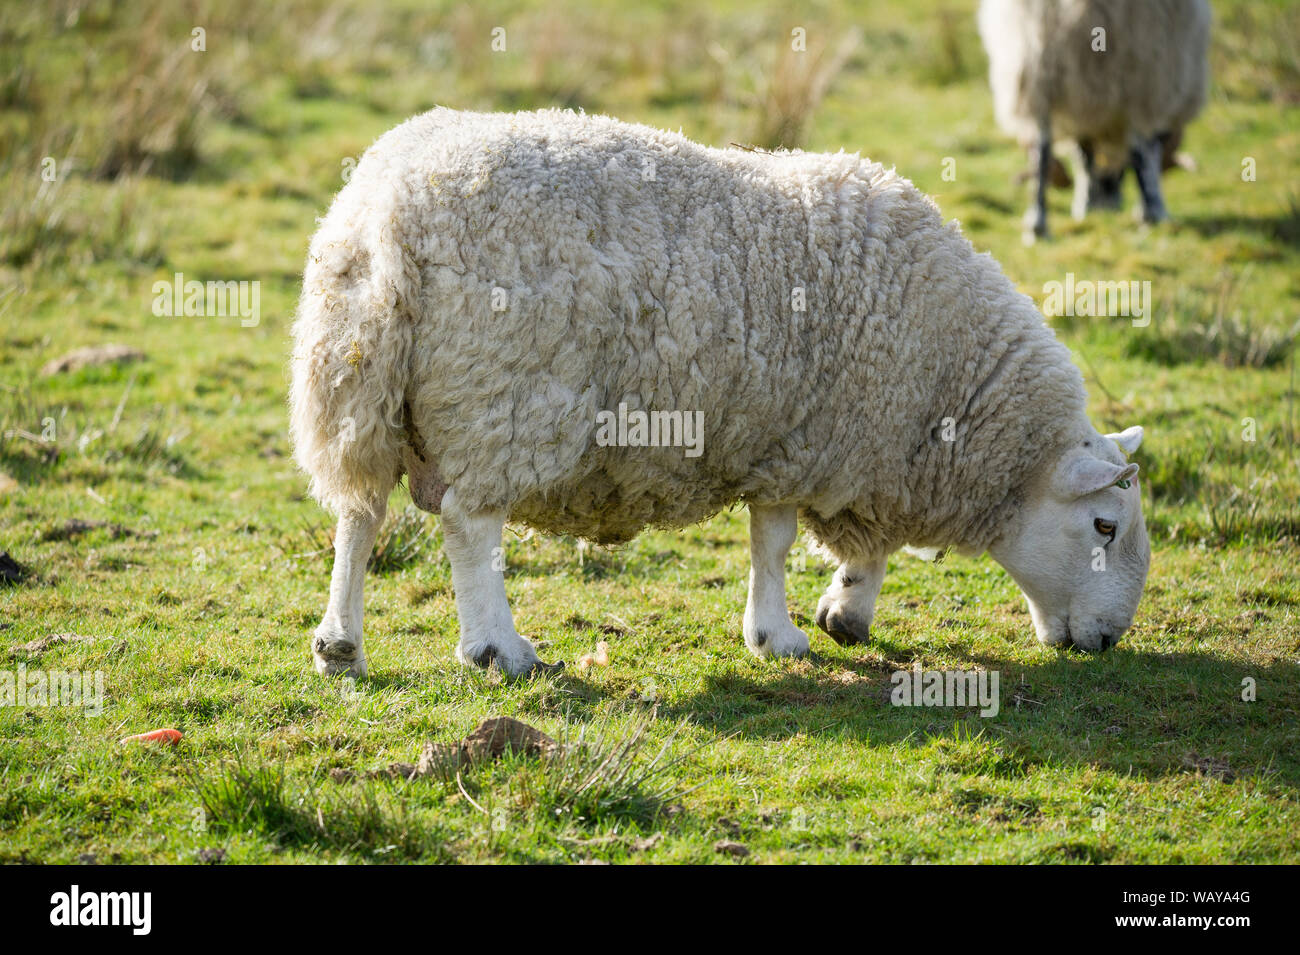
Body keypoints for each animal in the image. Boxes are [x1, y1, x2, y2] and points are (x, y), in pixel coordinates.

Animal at [289, 108, 1154, 680]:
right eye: (1105, 525)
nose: (1110, 641)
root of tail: (382, 219)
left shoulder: (833, 442)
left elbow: (842, 544)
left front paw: (843, 611)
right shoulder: (815, 440)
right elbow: (774, 541)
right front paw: (781, 632)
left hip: (360, 389)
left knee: (360, 514)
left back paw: (340, 644)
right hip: (501, 401)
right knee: (470, 524)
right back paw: (498, 647)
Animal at [977, 0, 1211, 239]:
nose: (1107, 208)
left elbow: (1084, 154)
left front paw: (1085, 205)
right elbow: (1147, 152)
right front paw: (1149, 210)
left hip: (1036, 56)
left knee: (1041, 145)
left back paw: (1037, 224)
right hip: (1141, 61)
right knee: (1139, 146)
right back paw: (1152, 214)